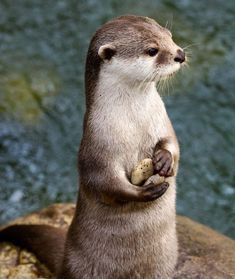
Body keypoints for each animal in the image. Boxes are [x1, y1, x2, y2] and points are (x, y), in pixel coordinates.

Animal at [0, 15, 185, 279]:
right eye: (152, 50)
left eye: (169, 36)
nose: (180, 54)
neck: (134, 121)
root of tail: (65, 259)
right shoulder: (96, 145)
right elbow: (105, 183)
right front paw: (145, 192)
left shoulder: (163, 122)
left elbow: (173, 143)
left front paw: (164, 159)